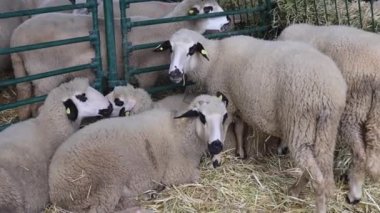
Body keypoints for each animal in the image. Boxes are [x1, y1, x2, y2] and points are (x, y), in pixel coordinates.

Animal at [11, 0, 230, 120]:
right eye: (208, 8)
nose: (228, 21)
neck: (167, 27)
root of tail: (16, 40)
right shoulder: (147, 74)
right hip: (46, 77)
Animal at [49, 92, 230, 212]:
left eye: (224, 117)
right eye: (202, 117)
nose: (216, 146)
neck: (180, 131)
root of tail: (54, 189)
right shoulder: (175, 173)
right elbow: (196, 176)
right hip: (105, 186)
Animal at [157, 28, 348, 213]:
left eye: (190, 50)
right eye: (171, 49)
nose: (174, 73)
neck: (214, 58)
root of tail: (329, 90)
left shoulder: (227, 103)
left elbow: (223, 130)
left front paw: (216, 160)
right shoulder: (238, 104)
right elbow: (240, 129)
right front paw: (241, 153)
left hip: (299, 123)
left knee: (316, 175)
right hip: (327, 127)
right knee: (318, 166)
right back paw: (294, 190)